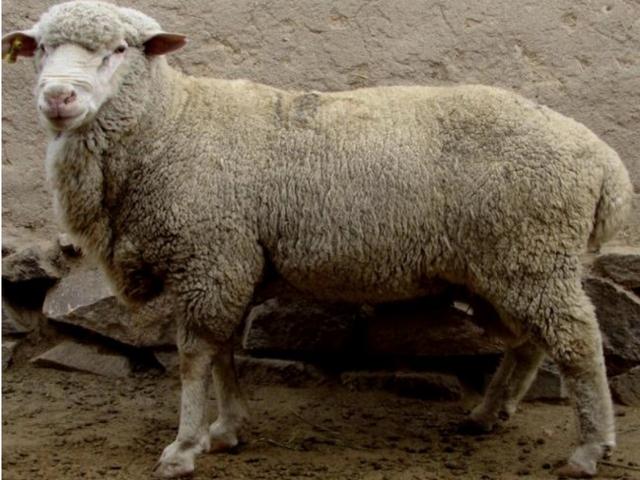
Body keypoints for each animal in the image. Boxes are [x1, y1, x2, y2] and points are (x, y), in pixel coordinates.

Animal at [2, 1, 633, 478]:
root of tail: (603, 161)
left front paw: (184, 447)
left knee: (577, 341)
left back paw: (588, 449)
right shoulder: (232, 261)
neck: (170, 124)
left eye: (118, 50)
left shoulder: (210, 254)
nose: (58, 98)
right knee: (530, 341)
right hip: (503, 266)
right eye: (40, 48)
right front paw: (226, 429)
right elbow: (225, 350)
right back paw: (488, 414)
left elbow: (195, 356)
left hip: (529, 253)